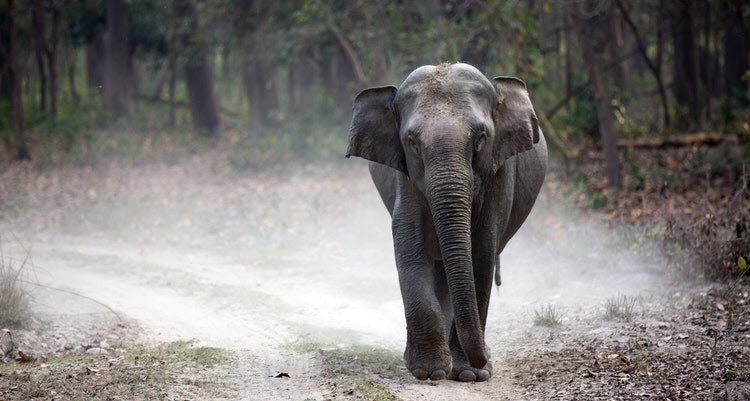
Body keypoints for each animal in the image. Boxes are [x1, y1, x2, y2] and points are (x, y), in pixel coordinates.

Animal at [346, 62, 548, 382]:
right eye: (411, 142)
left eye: (481, 138)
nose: (483, 360)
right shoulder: (405, 177)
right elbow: (410, 246)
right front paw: (429, 372)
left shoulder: (499, 173)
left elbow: (481, 253)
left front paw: (469, 375)